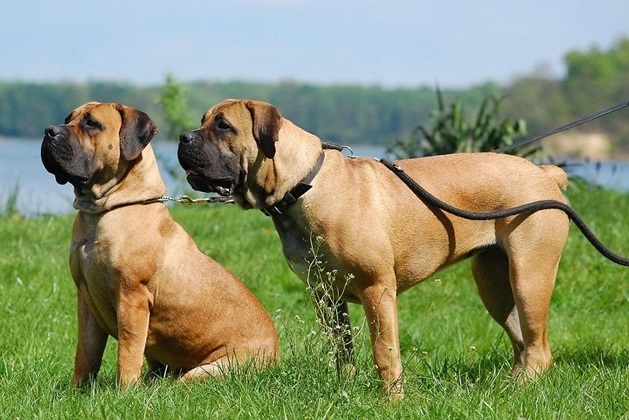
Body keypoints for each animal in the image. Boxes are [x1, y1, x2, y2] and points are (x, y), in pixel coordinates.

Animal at [41, 101, 278, 388]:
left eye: (91, 123)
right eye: (68, 119)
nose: (49, 130)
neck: (103, 211)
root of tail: (276, 352)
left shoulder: (132, 299)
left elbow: (128, 352)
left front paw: (125, 391)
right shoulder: (86, 303)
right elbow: (86, 354)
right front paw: (77, 389)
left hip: (208, 369)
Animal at [177, 99, 568, 400]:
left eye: (224, 126)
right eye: (203, 121)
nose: (183, 137)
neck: (301, 186)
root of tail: (545, 172)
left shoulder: (376, 288)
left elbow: (385, 351)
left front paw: (391, 400)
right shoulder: (325, 293)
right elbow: (342, 349)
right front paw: (346, 386)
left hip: (529, 276)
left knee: (538, 347)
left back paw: (523, 390)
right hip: (494, 282)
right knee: (521, 340)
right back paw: (509, 387)